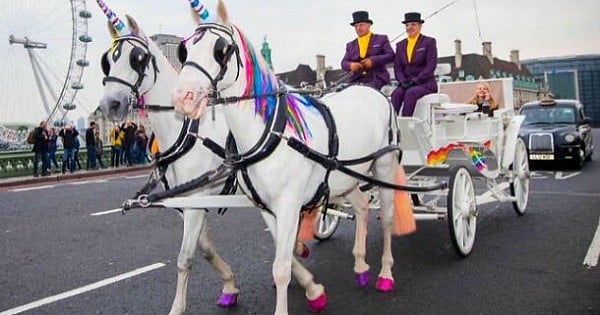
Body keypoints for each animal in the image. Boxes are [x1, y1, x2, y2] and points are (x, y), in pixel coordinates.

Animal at [170, 1, 408, 314]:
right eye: (184, 49)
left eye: (220, 49)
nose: (182, 97)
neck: (273, 132)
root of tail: (375, 93)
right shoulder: (268, 206)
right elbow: (282, 255)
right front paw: (312, 288)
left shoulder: (288, 204)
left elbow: (281, 267)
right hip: (346, 178)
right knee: (361, 207)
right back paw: (360, 265)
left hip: (383, 166)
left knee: (388, 218)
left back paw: (385, 273)